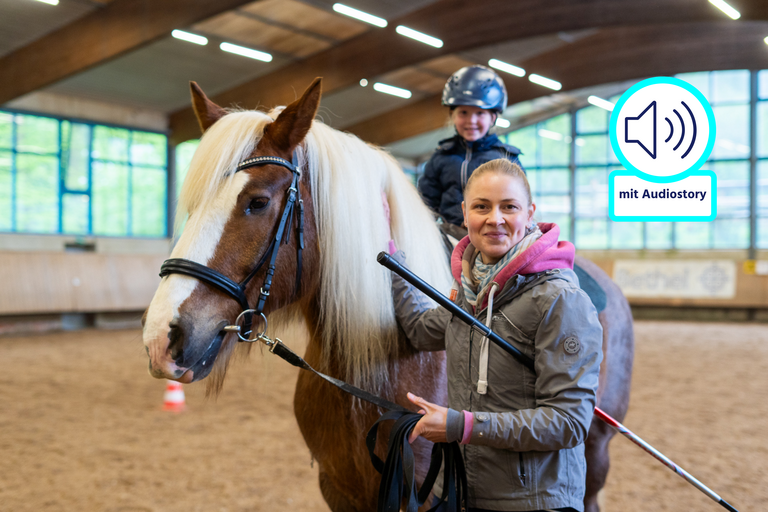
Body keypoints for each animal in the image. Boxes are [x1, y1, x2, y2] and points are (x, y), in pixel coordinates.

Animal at [141, 77, 632, 512]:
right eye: (191, 206)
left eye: (257, 202)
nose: (162, 338)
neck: (380, 363)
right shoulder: (340, 490)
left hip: (596, 452)